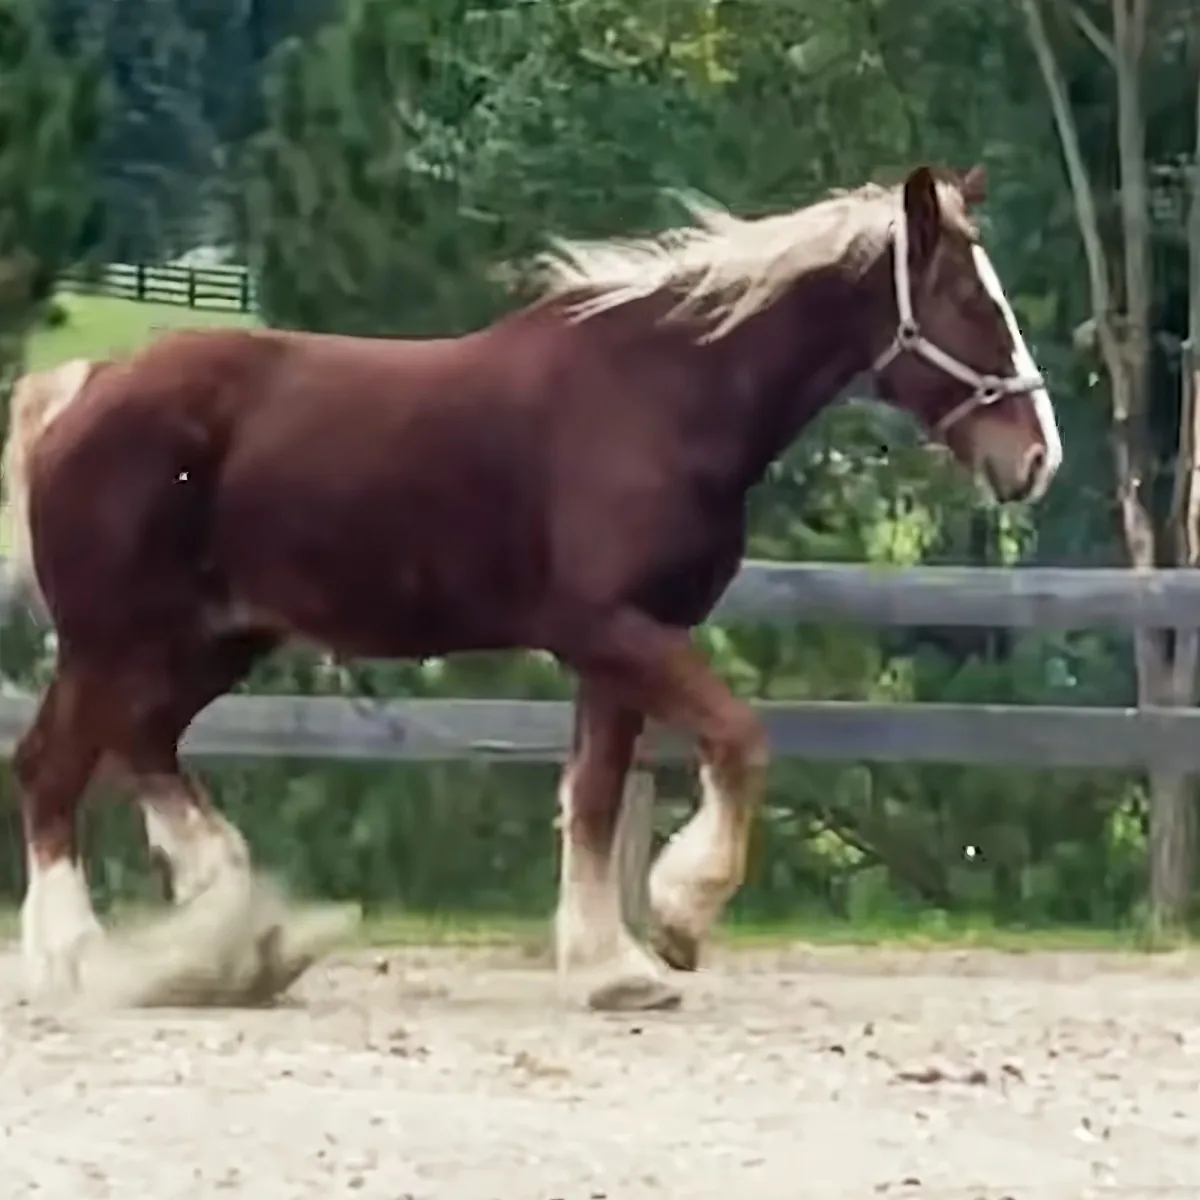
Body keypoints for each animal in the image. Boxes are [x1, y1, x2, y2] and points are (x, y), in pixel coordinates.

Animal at [0, 163, 1060, 1011]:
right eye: (971, 301)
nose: (1036, 458)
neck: (657, 396)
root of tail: (81, 388)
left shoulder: (626, 644)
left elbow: (593, 796)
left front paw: (611, 968)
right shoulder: (606, 626)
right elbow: (735, 738)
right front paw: (678, 916)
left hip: (214, 637)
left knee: (141, 744)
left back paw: (225, 923)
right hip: (112, 639)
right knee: (54, 769)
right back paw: (80, 962)